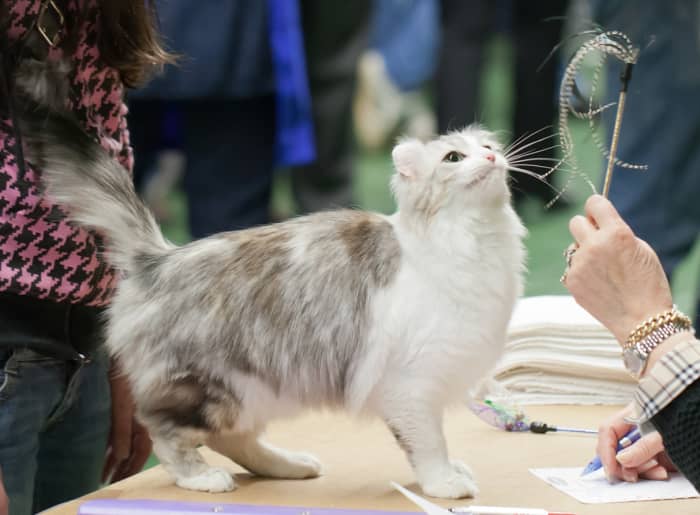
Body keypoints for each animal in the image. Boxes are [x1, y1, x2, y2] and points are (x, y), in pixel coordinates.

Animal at [16, 59, 524, 500]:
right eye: (454, 157)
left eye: (488, 148)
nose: (492, 155)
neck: (477, 241)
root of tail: (157, 258)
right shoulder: (413, 386)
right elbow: (428, 444)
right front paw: (444, 484)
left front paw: (452, 472)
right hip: (210, 386)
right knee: (168, 433)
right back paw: (202, 478)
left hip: (256, 391)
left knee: (234, 440)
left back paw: (290, 465)